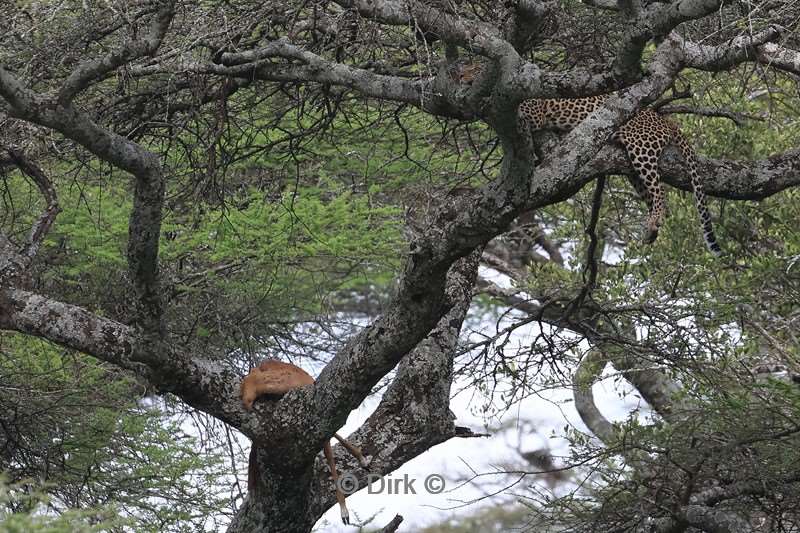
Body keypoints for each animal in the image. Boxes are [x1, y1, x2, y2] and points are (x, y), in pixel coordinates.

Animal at [520, 96, 724, 256]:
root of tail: (665, 120)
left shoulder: (534, 112)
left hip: (642, 150)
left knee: (660, 192)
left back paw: (653, 221)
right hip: (634, 172)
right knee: (656, 199)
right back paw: (651, 229)